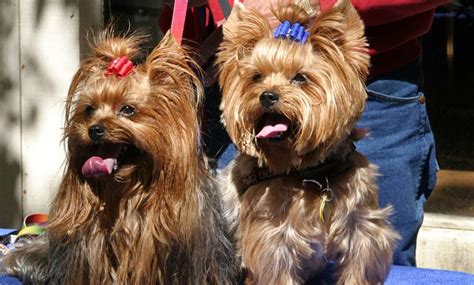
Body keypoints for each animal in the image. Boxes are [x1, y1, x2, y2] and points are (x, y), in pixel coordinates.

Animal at [218, 1, 400, 282]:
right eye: (256, 77)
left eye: (300, 78)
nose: (266, 96)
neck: (311, 173)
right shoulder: (273, 240)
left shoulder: (362, 232)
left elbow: (358, 268)